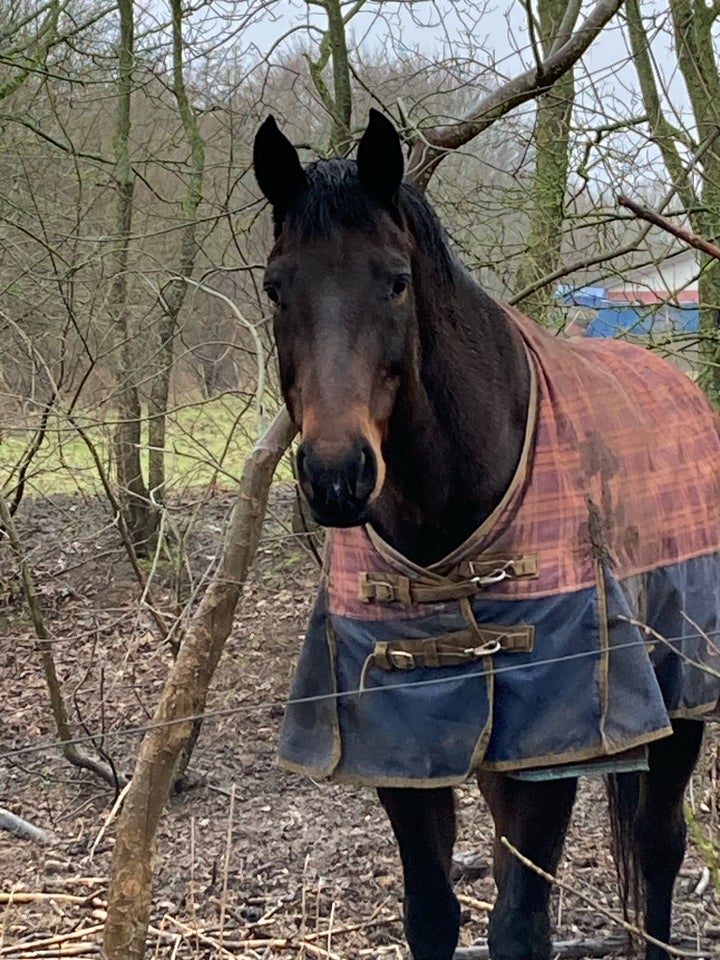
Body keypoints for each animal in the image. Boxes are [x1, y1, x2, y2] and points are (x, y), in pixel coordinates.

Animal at [252, 112, 720, 960]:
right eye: (277, 287)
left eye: (396, 280)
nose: (336, 476)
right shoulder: (406, 753)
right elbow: (434, 913)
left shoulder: (549, 753)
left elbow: (519, 925)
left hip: (684, 697)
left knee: (659, 847)